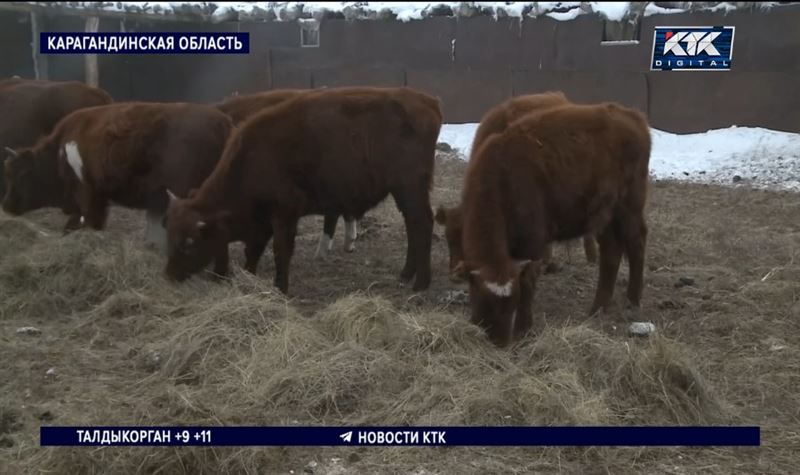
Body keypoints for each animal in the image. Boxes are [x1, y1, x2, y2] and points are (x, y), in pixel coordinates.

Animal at [3, 102, 233, 255]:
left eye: (20, 175)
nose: (6, 205)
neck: (59, 150)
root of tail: (222, 123)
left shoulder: (88, 194)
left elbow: (89, 222)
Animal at [450, 102, 648, 348]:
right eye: (483, 299)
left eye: (510, 302)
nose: (500, 340)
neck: (501, 178)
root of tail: (633, 116)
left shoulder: (533, 244)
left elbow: (528, 281)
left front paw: (523, 329)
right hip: (605, 217)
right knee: (612, 253)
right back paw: (597, 308)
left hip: (628, 209)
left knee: (637, 242)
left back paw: (632, 300)